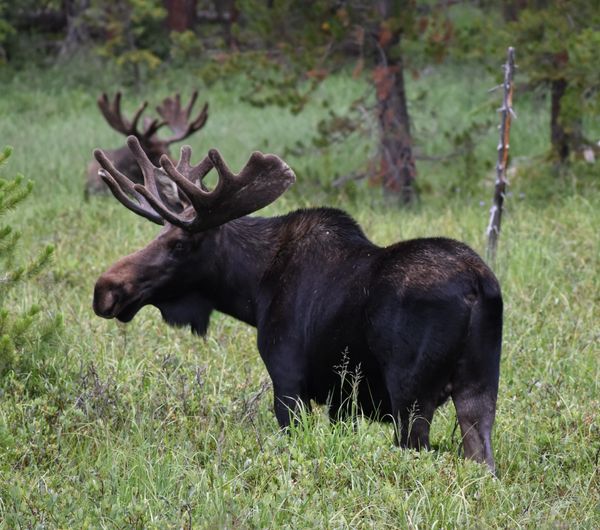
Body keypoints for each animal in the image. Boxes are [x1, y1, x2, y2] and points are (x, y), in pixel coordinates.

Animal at [92, 136, 502, 470]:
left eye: (178, 244)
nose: (106, 289)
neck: (252, 292)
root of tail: (479, 286)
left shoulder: (288, 379)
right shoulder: (341, 401)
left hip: (411, 396)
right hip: (480, 389)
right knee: (484, 460)